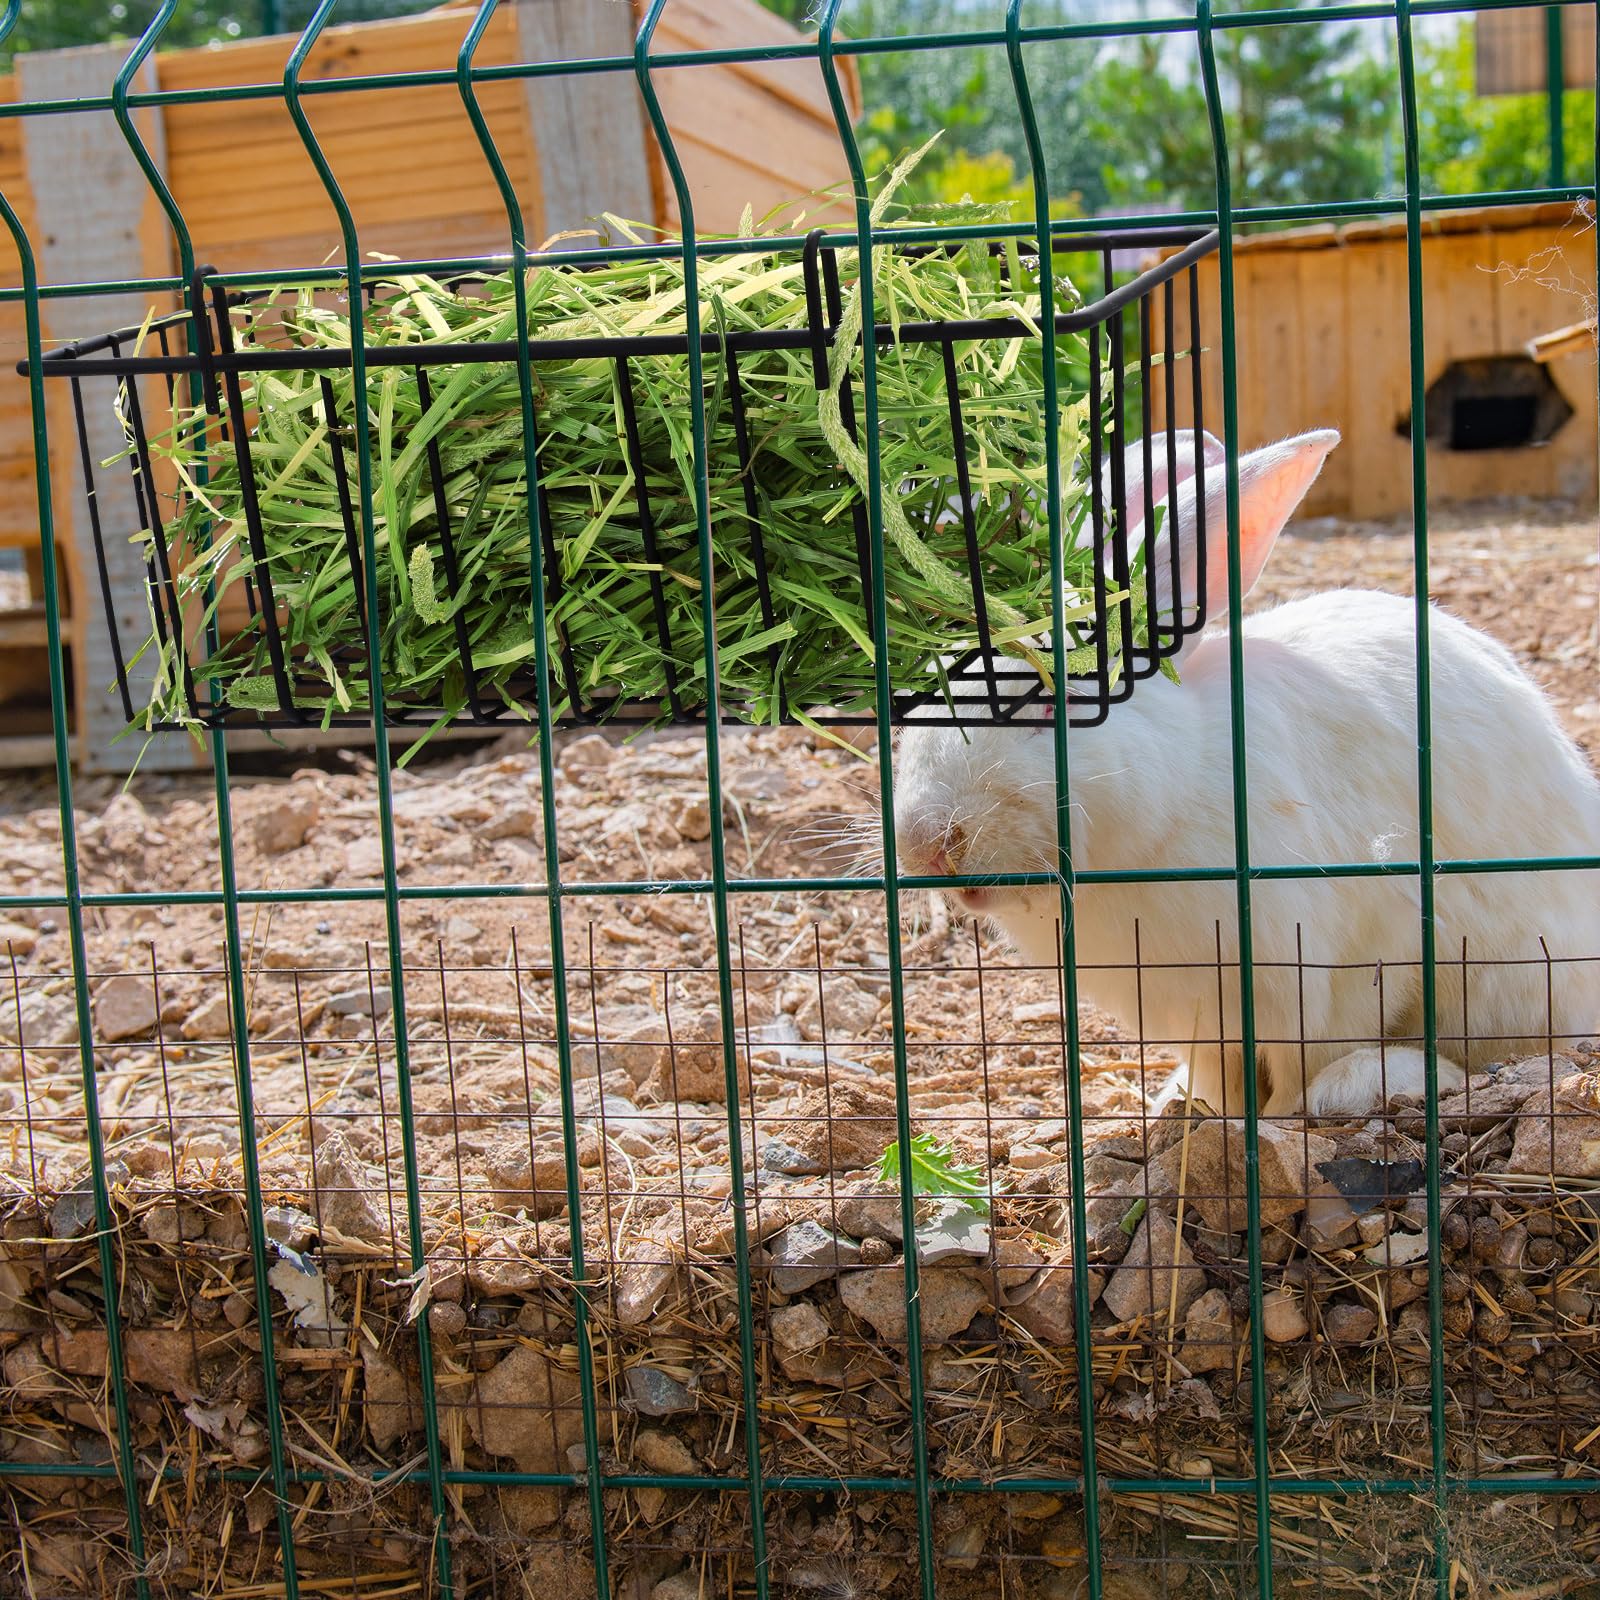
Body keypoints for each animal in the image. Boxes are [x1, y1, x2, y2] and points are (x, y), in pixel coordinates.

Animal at [893, 428, 1600, 1118]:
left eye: (1049, 703)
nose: (926, 843)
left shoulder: (1326, 971)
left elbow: (1300, 1065)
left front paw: (1281, 1120)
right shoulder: (1201, 1015)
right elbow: (1221, 1075)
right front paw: (1201, 1111)